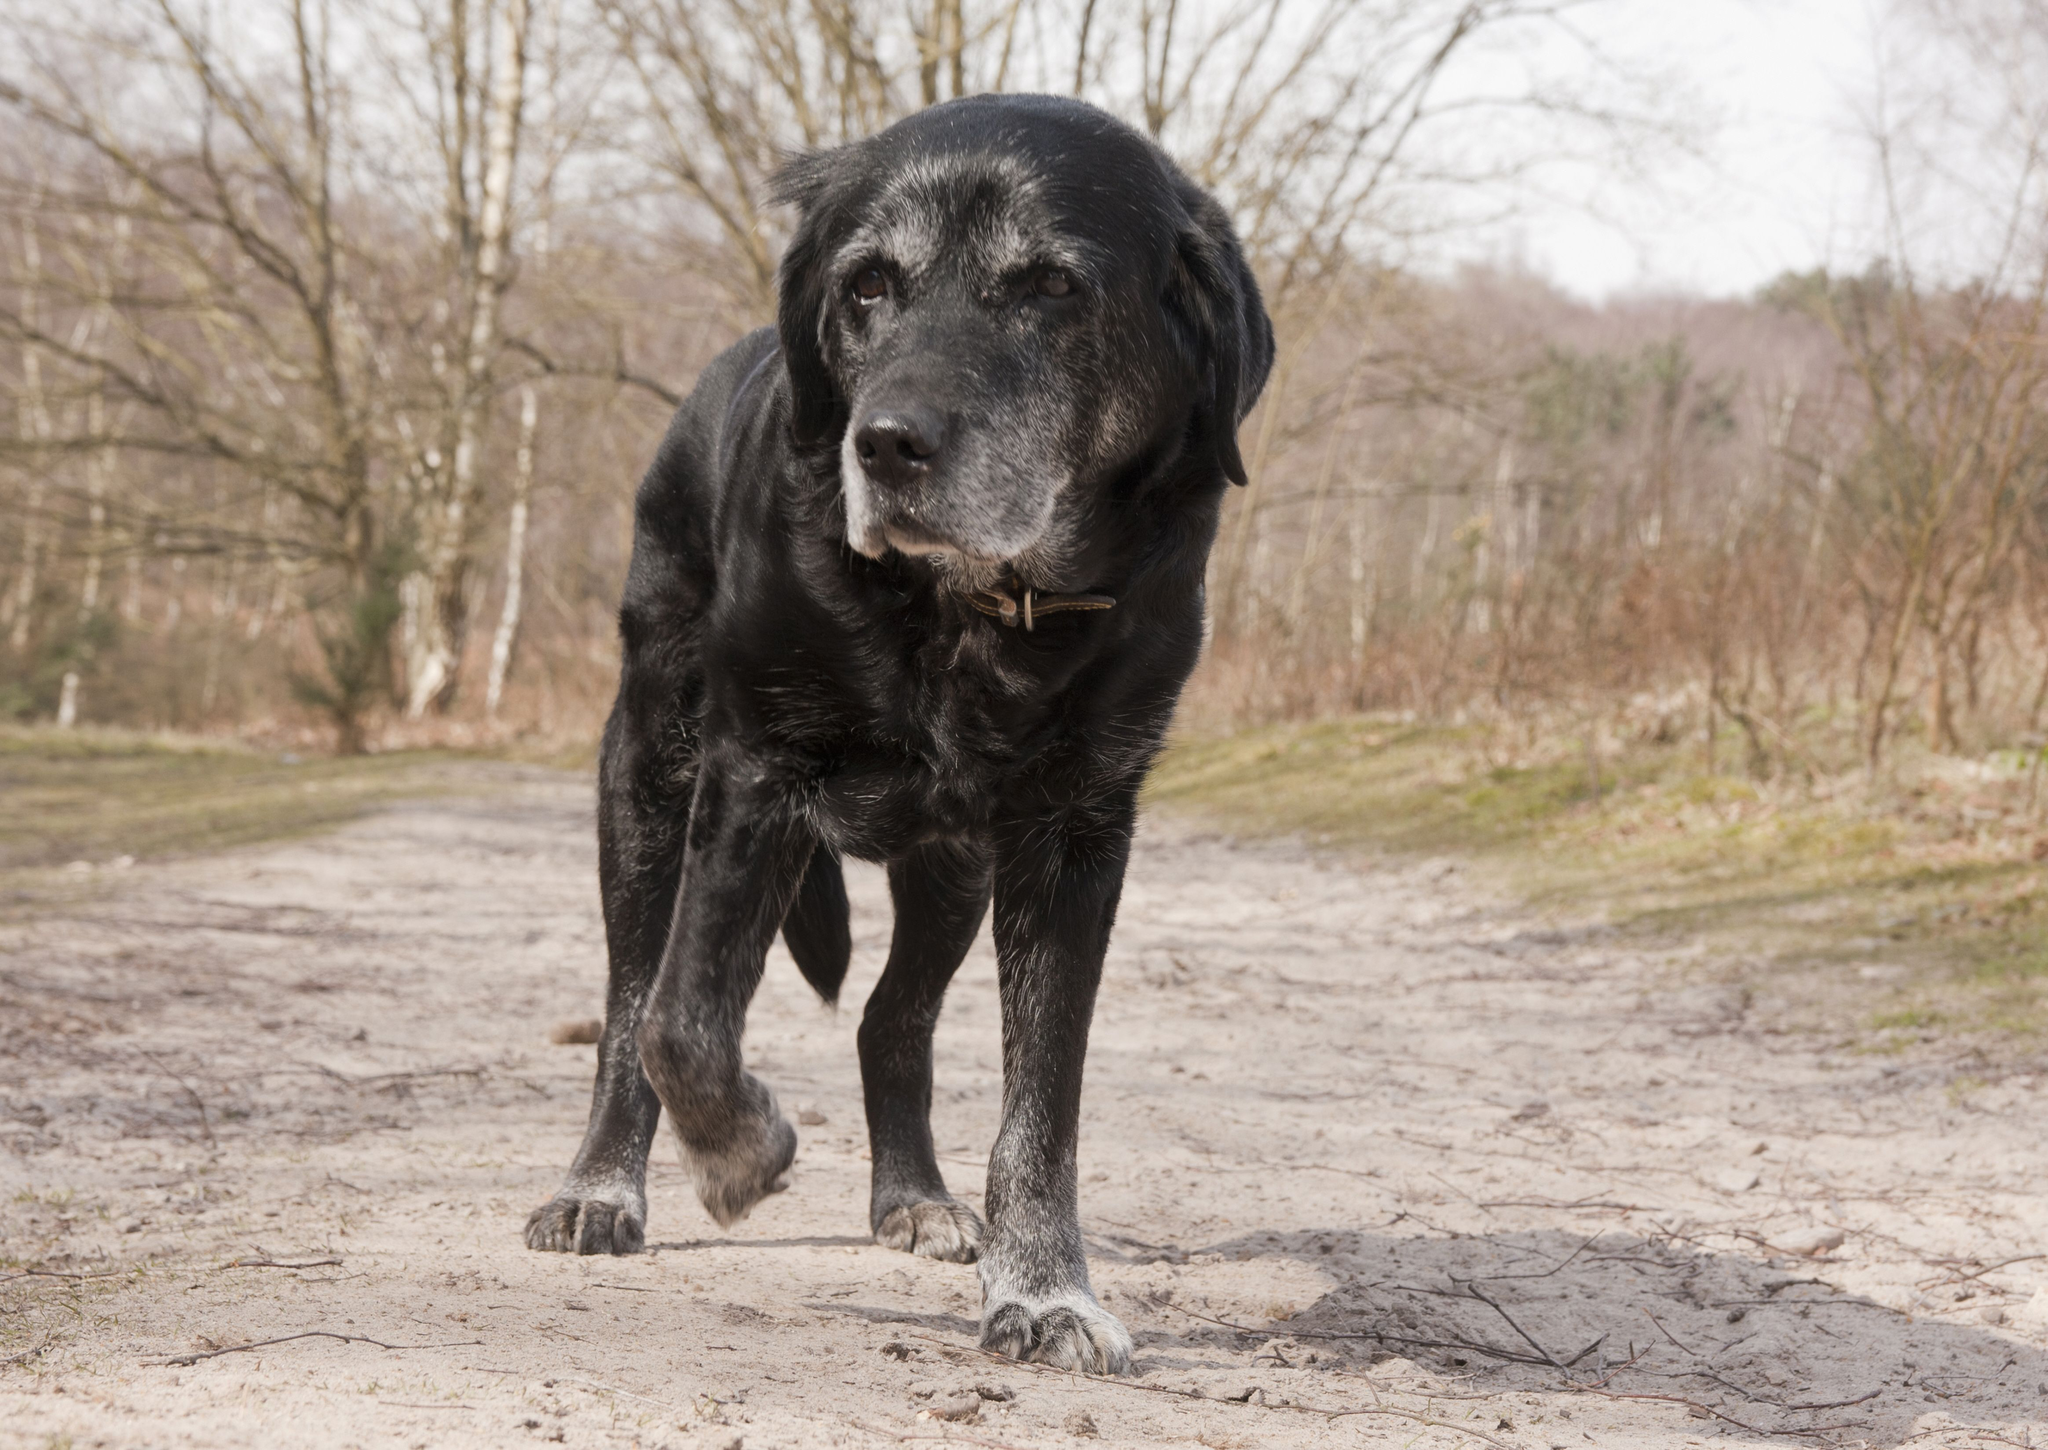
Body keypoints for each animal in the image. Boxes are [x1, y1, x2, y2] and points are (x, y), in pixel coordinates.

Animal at [528, 93, 1261, 1368]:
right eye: (867, 285)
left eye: (1048, 286)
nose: (884, 443)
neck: (964, 612)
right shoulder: (754, 774)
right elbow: (679, 1018)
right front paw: (738, 1151)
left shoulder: (1074, 837)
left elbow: (1042, 1106)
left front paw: (1045, 1289)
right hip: (646, 781)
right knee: (627, 1003)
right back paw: (601, 1188)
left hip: (950, 868)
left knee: (888, 1018)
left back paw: (914, 1198)